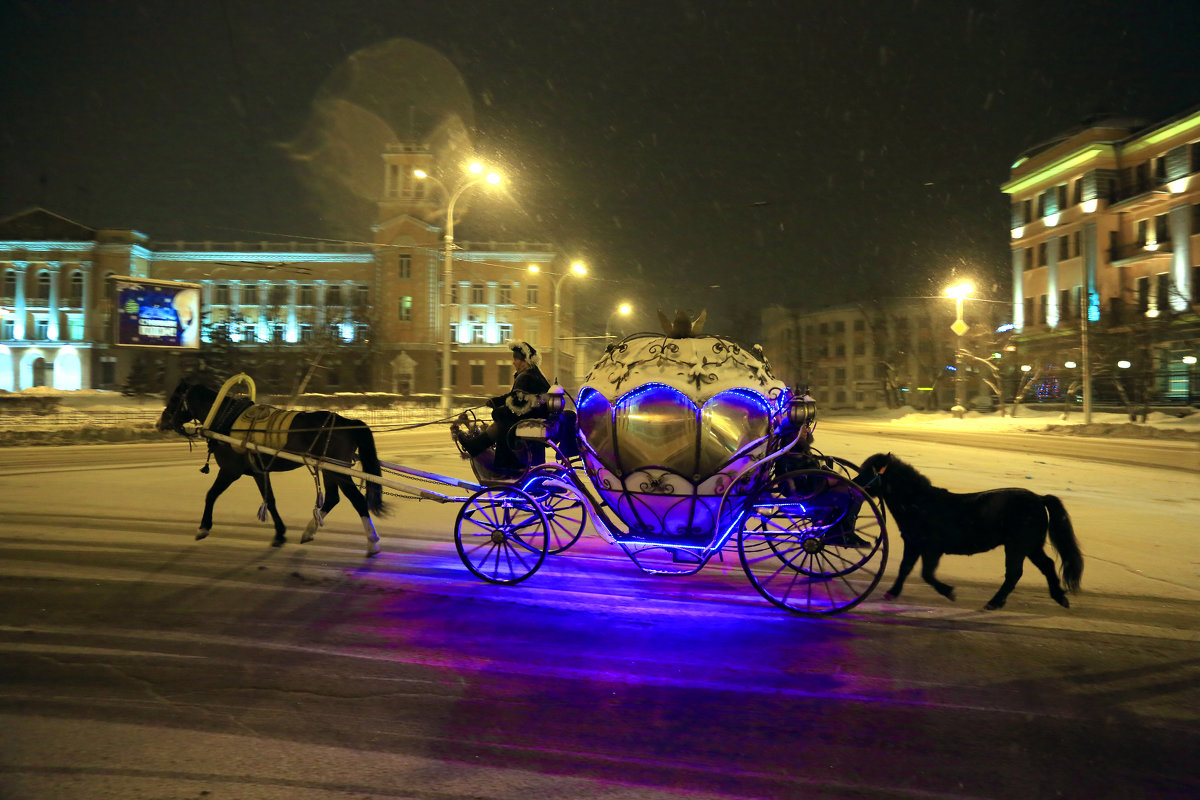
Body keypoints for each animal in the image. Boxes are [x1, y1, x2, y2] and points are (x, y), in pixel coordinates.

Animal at [157, 381, 386, 556]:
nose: (160, 423)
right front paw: (280, 534)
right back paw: (309, 532)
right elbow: (270, 500)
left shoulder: (230, 471)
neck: (227, 420)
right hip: (329, 469)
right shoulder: (259, 471)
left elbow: (211, 495)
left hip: (338, 470)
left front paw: (203, 528)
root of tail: (349, 422)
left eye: (175, 399)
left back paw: (372, 541)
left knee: (357, 500)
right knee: (332, 498)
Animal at [854, 453, 1089, 609]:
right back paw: (1059, 597)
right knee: (1046, 566)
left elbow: (926, 574)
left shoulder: (931, 549)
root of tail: (1039, 499)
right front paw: (892, 592)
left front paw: (949, 592)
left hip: (1017, 547)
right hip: (1030, 547)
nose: (853, 485)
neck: (920, 503)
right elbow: (905, 569)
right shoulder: (913, 544)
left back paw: (995, 602)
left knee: (1015, 573)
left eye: (866, 471)